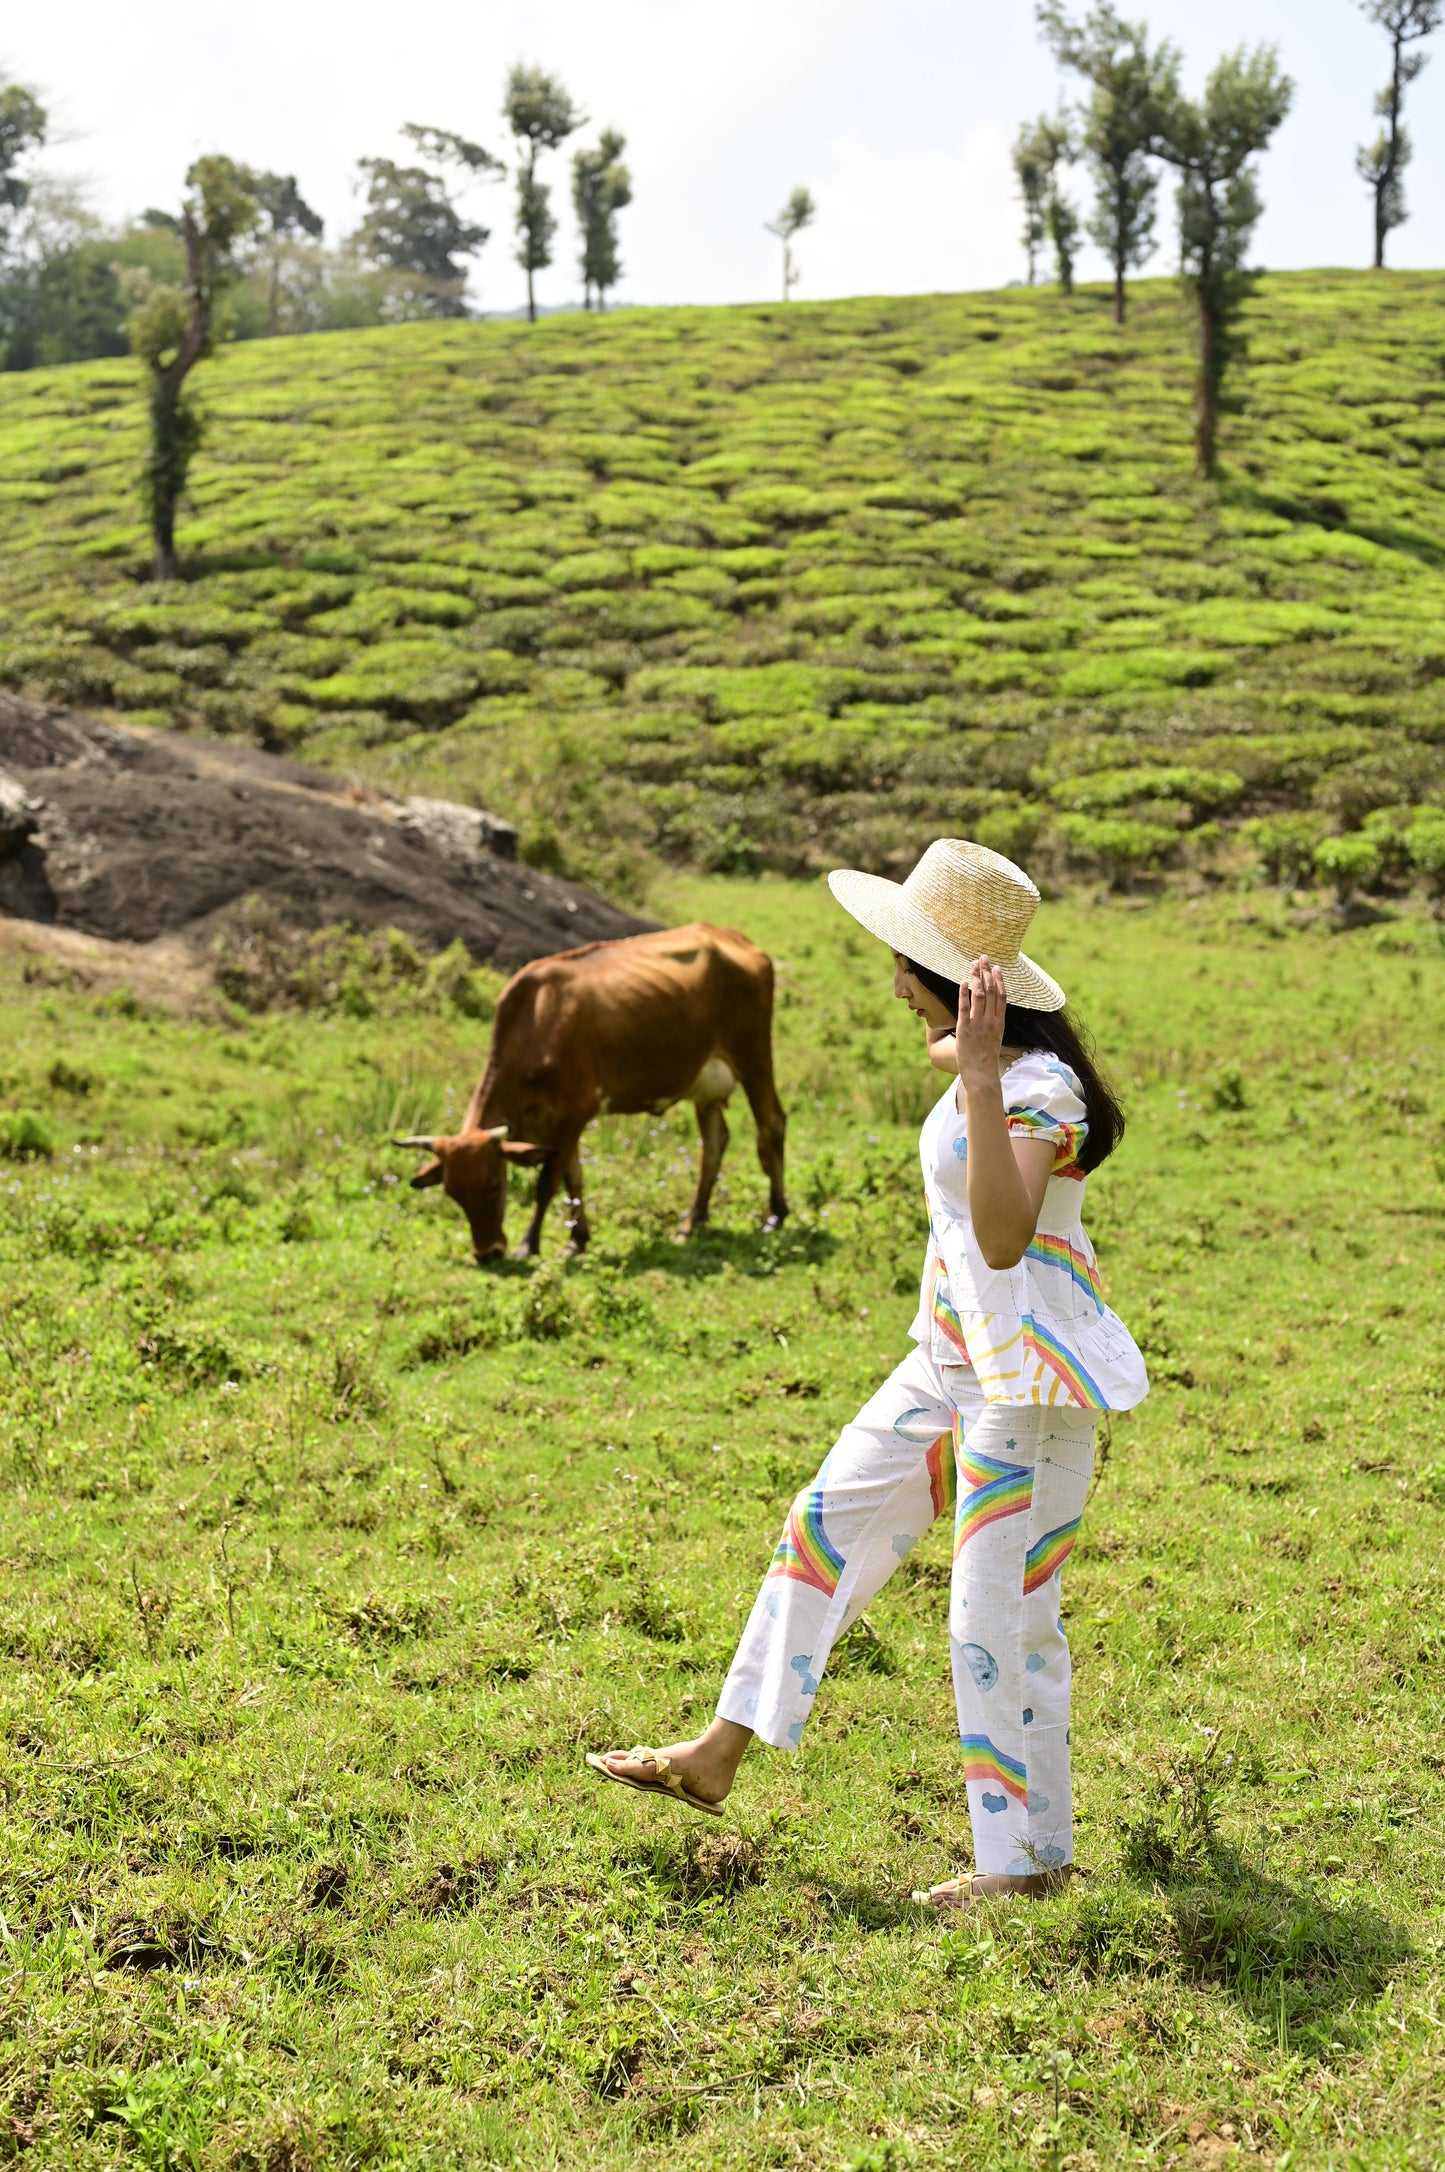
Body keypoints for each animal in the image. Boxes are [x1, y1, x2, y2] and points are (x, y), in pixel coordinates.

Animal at [395, 925, 790, 1268]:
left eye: (494, 1186)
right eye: (452, 1193)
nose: (487, 1253)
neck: (537, 1021)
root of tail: (730, 936)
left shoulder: (575, 1111)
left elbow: (548, 1182)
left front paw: (529, 1244)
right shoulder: (556, 1122)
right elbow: (573, 1179)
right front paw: (577, 1239)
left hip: (753, 1057)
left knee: (771, 1125)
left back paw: (775, 1214)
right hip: (705, 1083)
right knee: (714, 1144)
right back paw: (693, 1221)